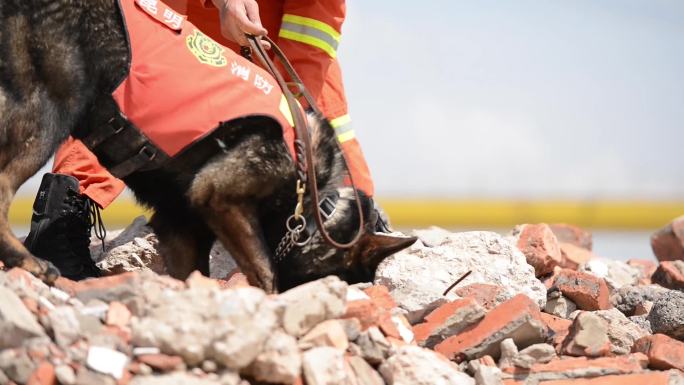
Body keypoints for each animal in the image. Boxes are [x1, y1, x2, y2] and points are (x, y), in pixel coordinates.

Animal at [0, 0, 416, 290]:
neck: (314, 207)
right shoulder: (218, 196)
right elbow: (266, 273)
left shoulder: (180, 228)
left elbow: (192, 275)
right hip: (53, 110)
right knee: (4, 183)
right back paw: (28, 261)